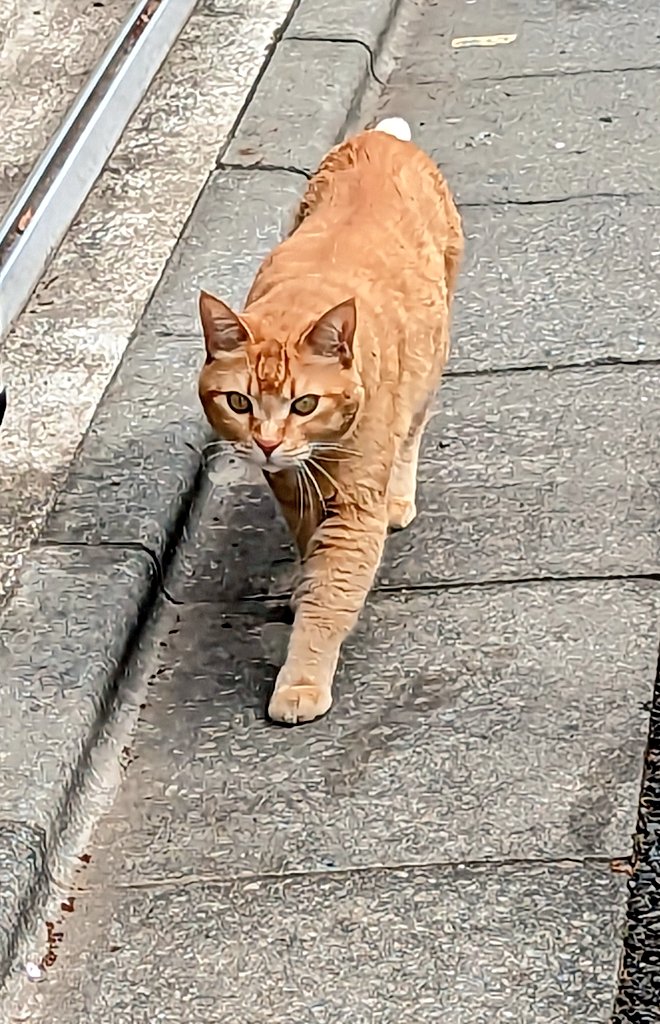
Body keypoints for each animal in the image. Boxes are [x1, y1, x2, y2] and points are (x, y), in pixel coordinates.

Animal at [198, 119, 460, 724]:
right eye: (239, 403)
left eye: (304, 405)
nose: (268, 443)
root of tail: (383, 138)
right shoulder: (291, 490)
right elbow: (309, 551)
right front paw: (302, 584)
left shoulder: (354, 508)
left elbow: (331, 594)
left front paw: (300, 681)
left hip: (431, 358)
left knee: (413, 431)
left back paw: (399, 497)